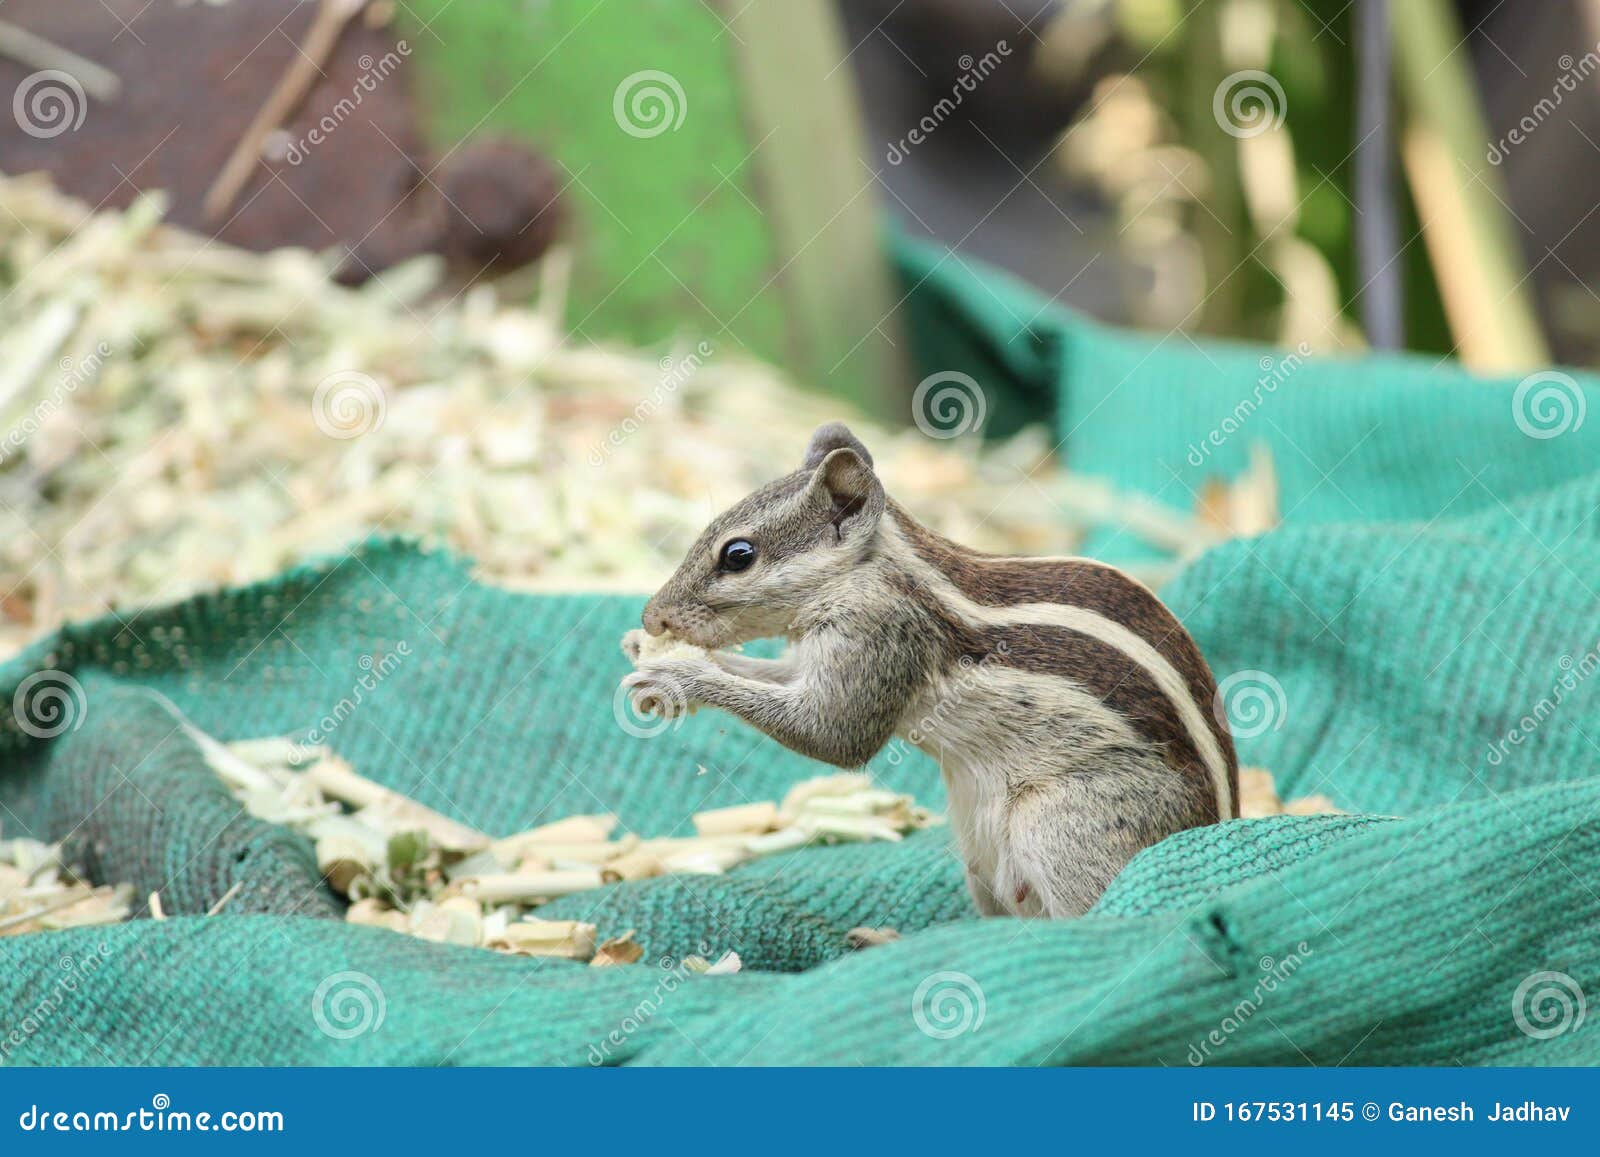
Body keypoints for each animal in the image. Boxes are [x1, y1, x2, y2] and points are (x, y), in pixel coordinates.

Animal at [621, 422, 1239, 918]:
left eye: (738, 555)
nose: (653, 617)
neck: (876, 568)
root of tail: (1220, 821)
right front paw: (651, 653)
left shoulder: (878, 636)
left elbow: (833, 735)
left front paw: (674, 678)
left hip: (1063, 827)